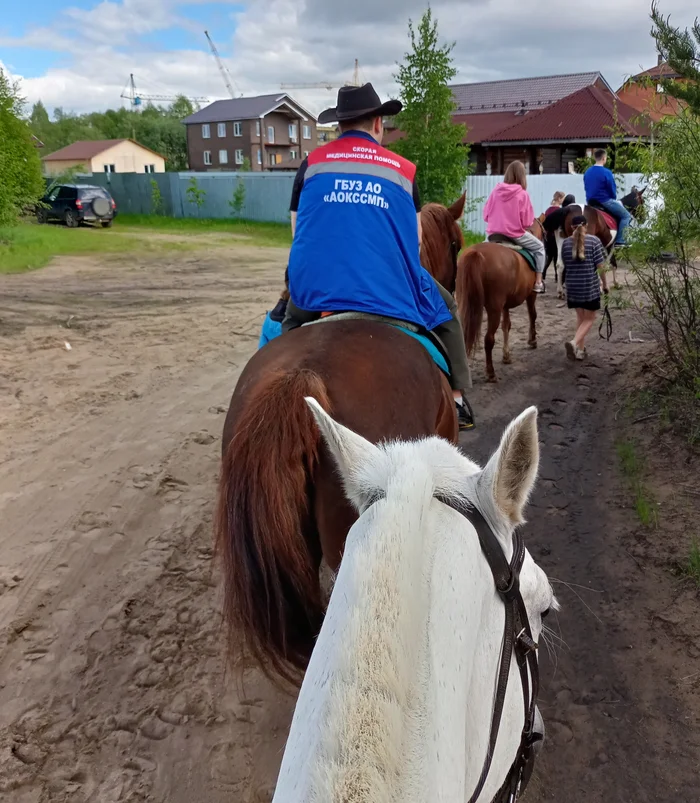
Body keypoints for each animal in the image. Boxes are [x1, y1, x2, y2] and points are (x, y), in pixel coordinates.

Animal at [454, 220, 540, 384]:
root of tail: (476, 253)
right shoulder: (531, 294)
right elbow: (532, 315)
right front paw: (532, 340)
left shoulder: (505, 305)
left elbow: (506, 325)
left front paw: (506, 355)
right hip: (494, 309)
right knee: (489, 339)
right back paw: (491, 373)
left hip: (465, 304)